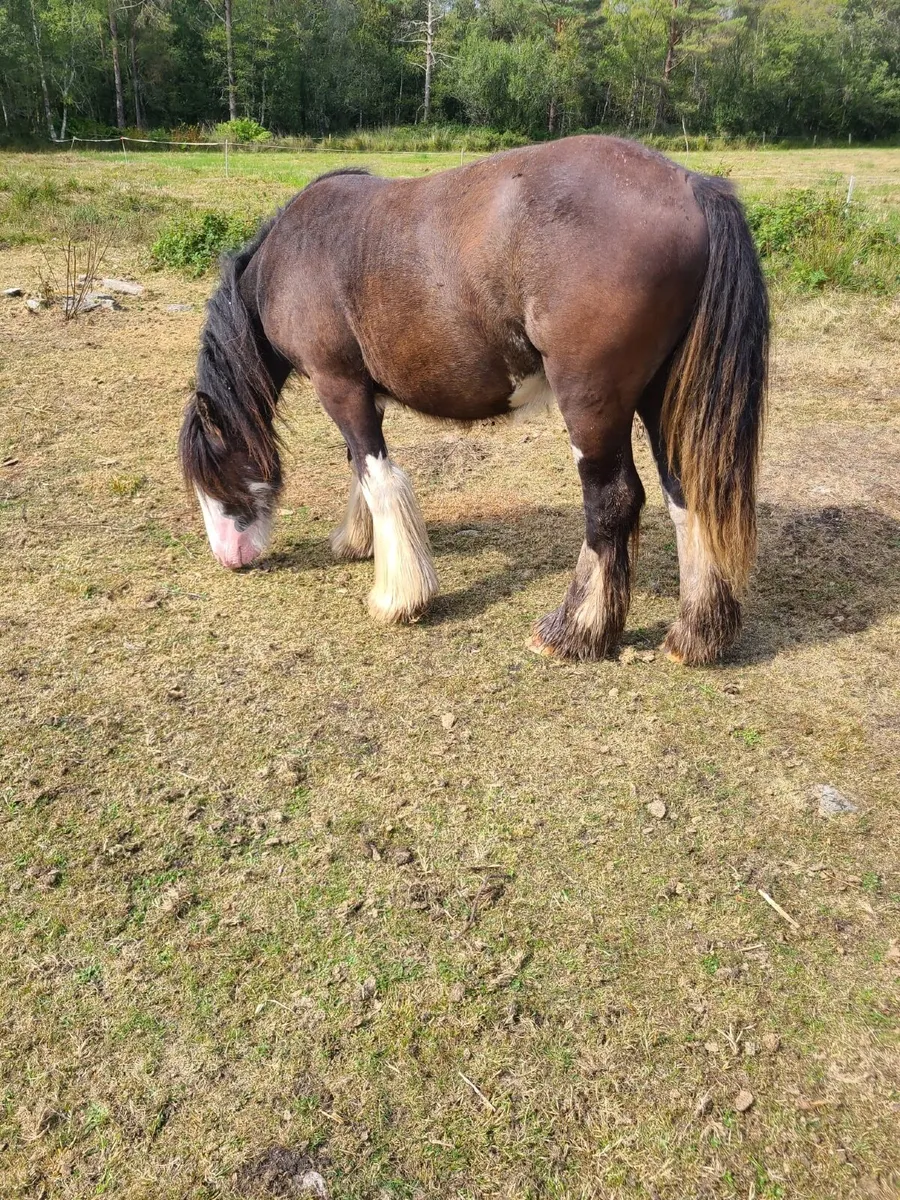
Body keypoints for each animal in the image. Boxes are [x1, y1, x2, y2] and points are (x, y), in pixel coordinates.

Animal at [179, 135, 768, 665]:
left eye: (212, 472)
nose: (229, 558)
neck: (292, 254)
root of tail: (690, 185)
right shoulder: (365, 395)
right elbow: (360, 470)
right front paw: (358, 542)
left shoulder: (338, 385)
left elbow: (378, 476)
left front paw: (399, 597)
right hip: (659, 397)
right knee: (686, 495)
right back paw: (696, 635)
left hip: (593, 402)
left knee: (613, 502)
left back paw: (574, 632)